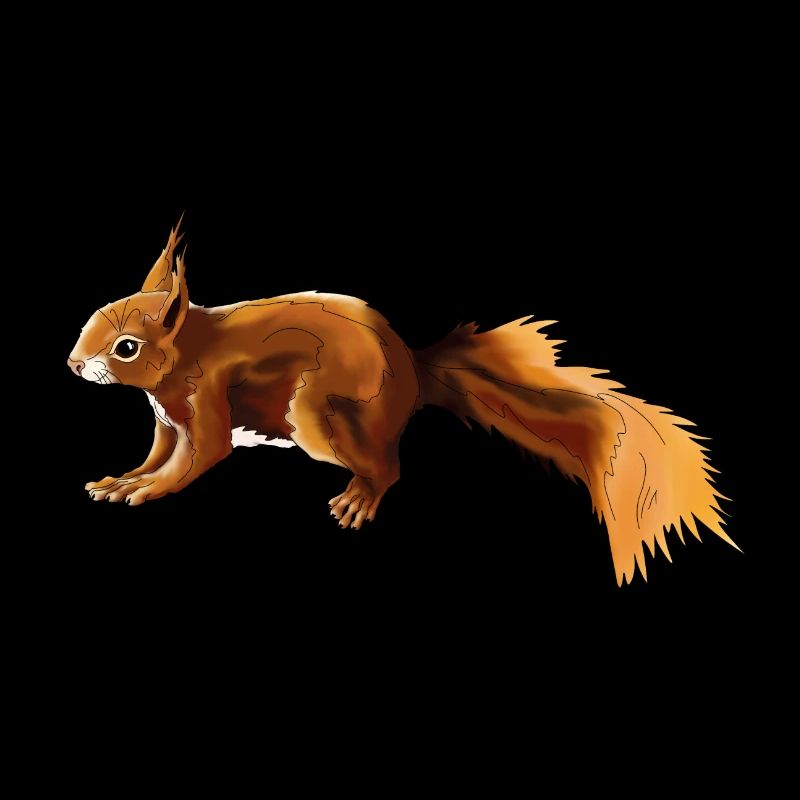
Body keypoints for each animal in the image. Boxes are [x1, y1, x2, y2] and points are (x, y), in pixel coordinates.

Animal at [67, 219, 736, 584]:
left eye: (126, 347)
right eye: (95, 315)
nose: (74, 363)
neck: (186, 354)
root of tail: (414, 374)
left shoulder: (205, 402)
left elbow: (195, 459)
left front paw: (143, 492)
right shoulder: (165, 422)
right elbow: (158, 456)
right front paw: (121, 480)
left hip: (316, 417)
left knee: (389, 466)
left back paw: (360, 497)